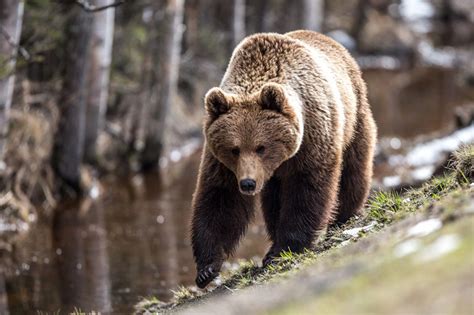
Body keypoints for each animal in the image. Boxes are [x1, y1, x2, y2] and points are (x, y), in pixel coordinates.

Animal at [191, 29, 376, 288]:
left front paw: (285, 248)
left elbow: (306, 189)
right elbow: (220, 197)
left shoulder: (312, 137)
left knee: (354, 165)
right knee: (272, 198)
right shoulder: (221, 162)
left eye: (261, 147)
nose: (248, 183)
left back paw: (345, 214)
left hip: (354, 114)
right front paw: (207, 268)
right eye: (234, 149)